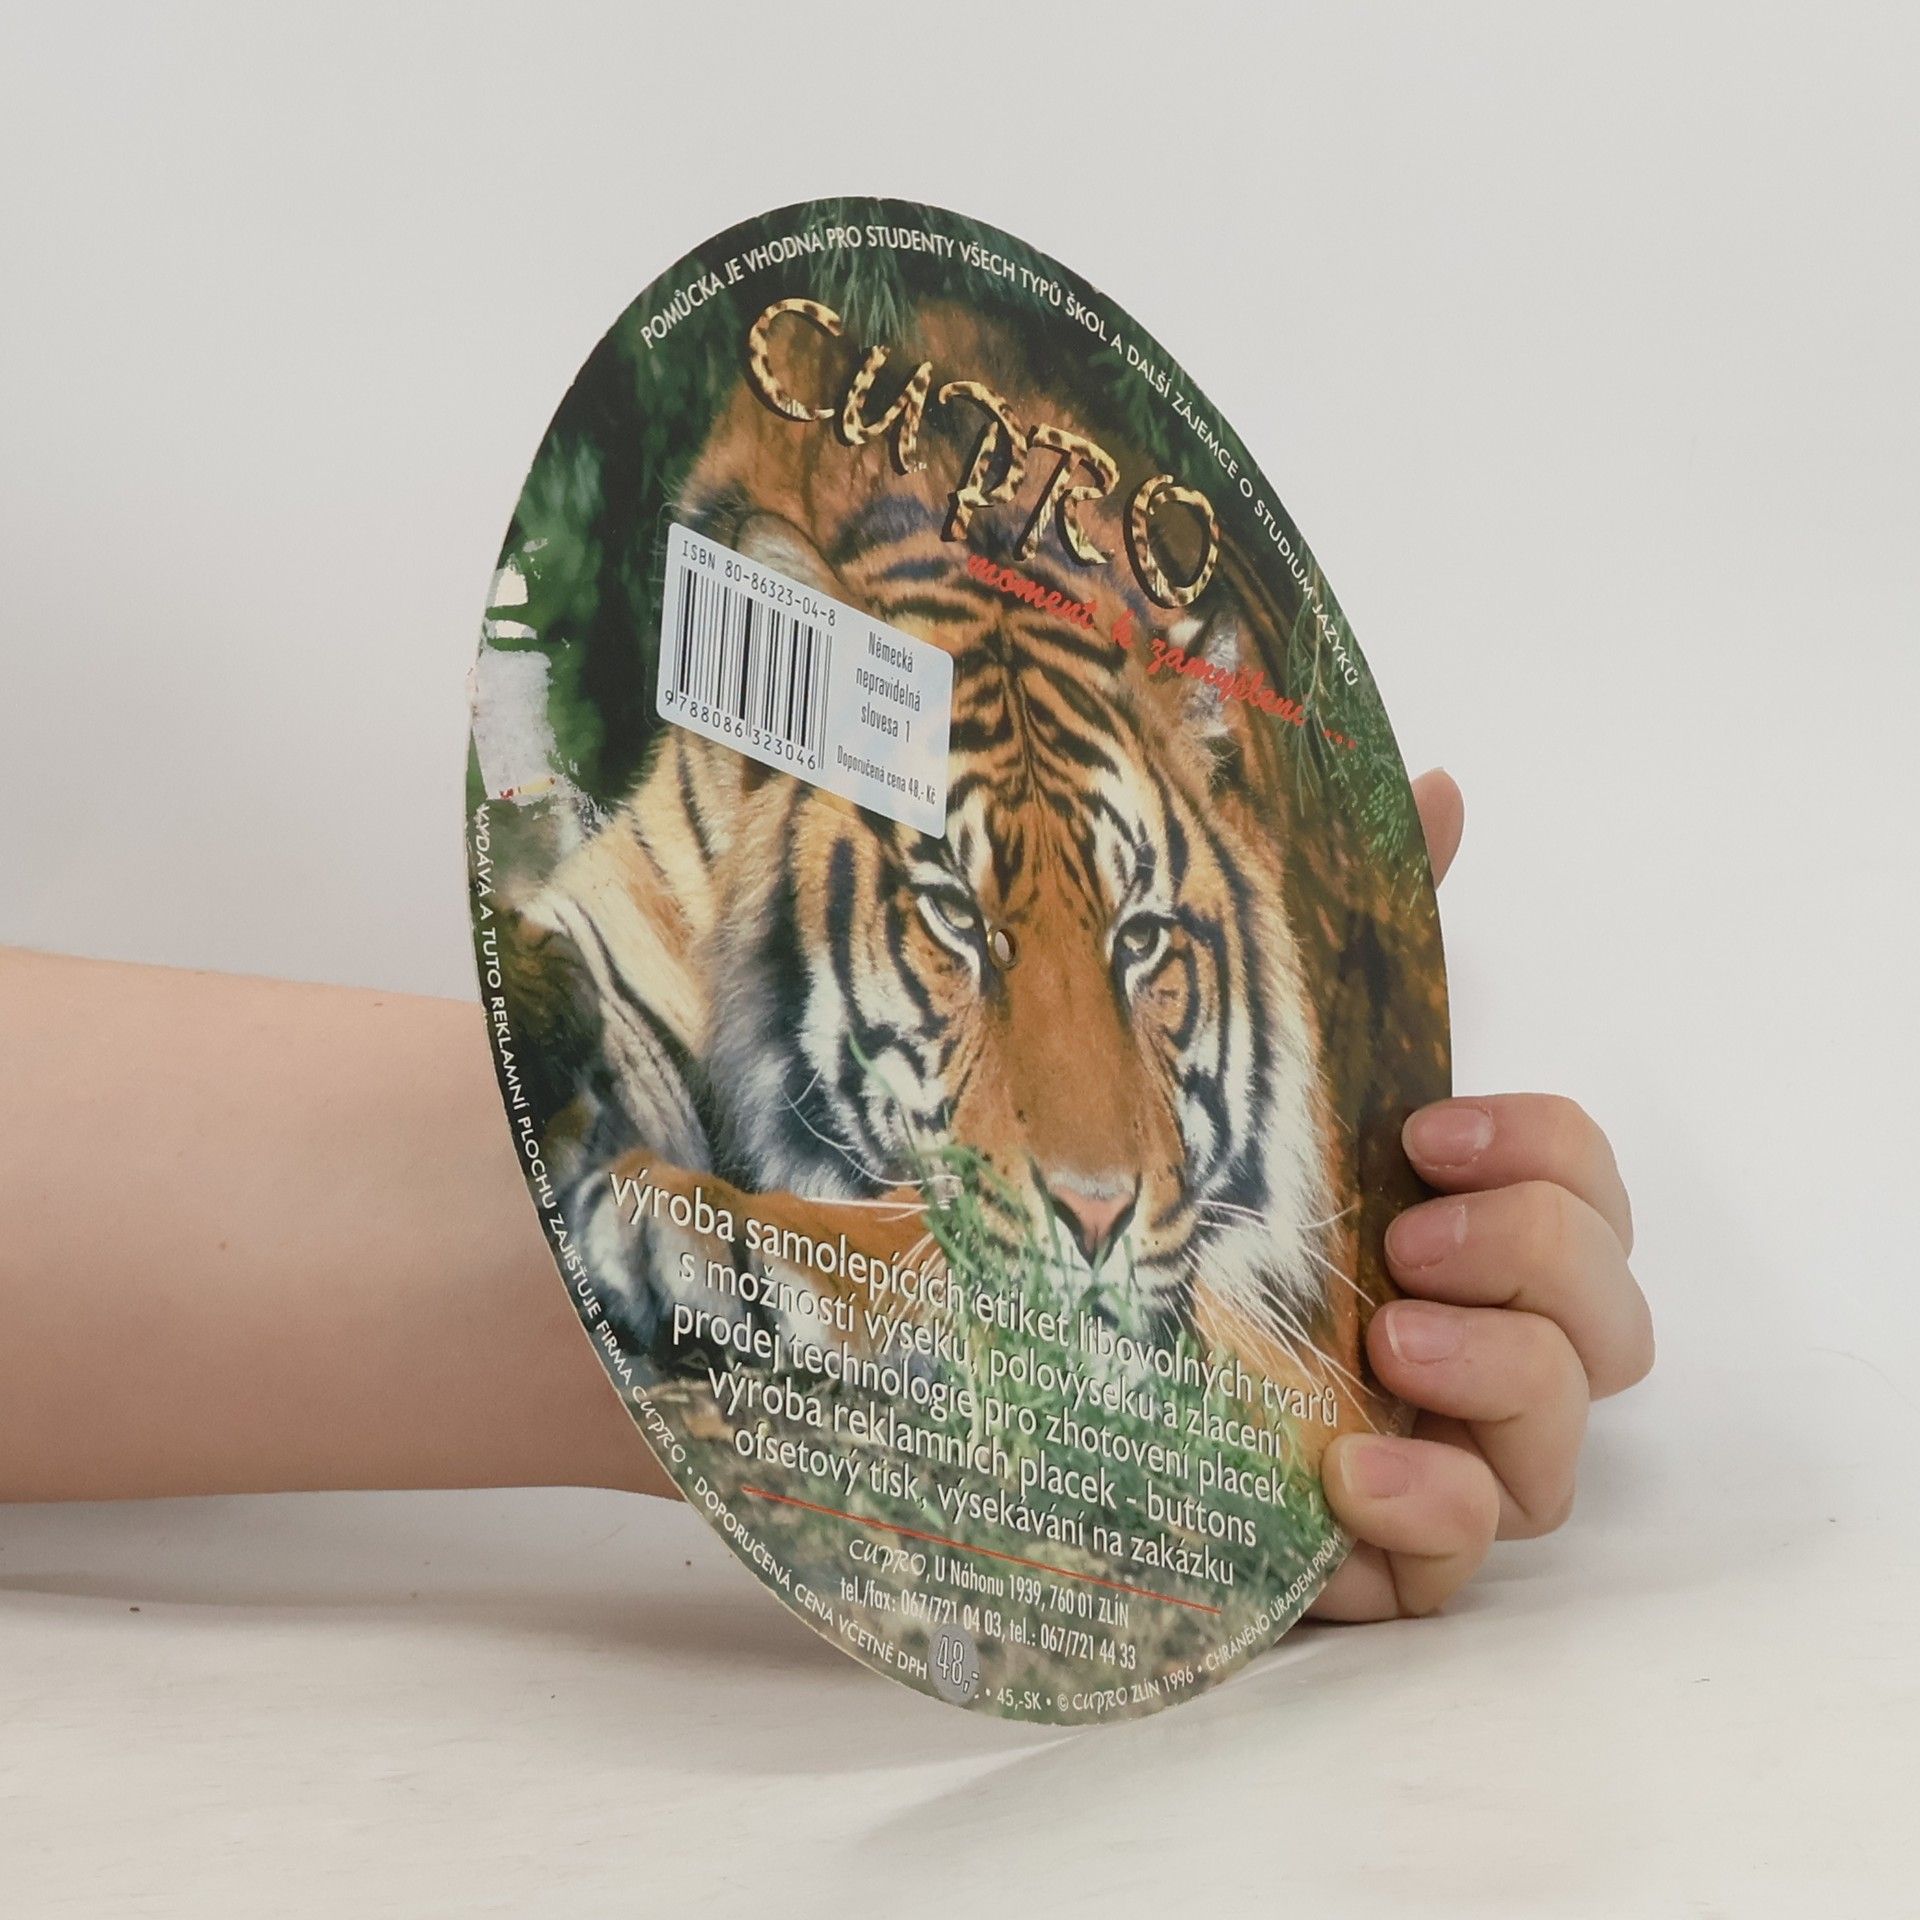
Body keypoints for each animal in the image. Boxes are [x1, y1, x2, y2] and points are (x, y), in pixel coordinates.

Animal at [506, 306, 1370, 1422]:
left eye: (1139, 938)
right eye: (956, 916)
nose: (1099, 1217)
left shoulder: (1274, 1344)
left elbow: (943, 1242)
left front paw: (701, 1227)